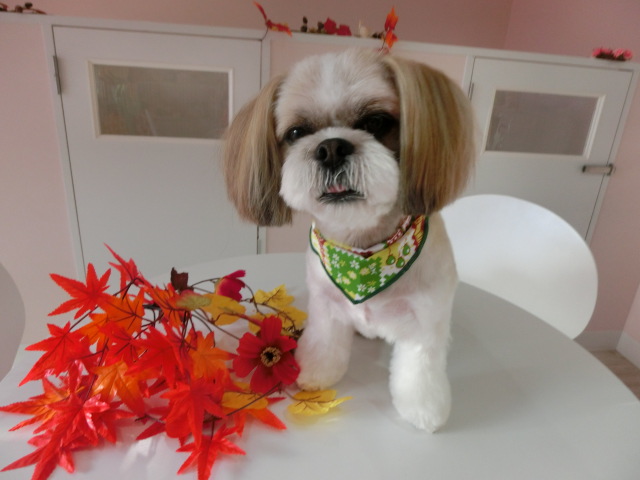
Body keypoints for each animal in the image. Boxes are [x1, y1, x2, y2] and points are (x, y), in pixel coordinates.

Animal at [223, 49, 475, 432]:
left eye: (376, 122)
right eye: (297, 132)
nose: (330, 148)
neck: (363, 252)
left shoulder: (425, 319)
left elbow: (420, 369)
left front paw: (423, 409)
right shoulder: (325, 306)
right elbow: (324, 346)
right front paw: (315, 374)